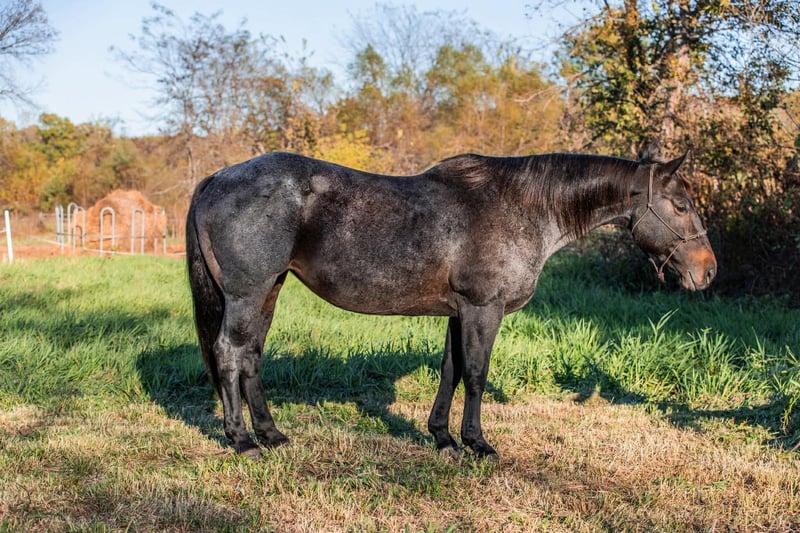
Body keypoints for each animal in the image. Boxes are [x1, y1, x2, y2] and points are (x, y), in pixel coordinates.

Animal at [186, 150, 716, 460]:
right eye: (682, 205)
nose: (708, 271)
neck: (523, 206)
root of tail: (218, 177)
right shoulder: (484, 308)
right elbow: (477, 375)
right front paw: (477, 443)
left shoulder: (458, 312)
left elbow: (451, 371)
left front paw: (442, 437)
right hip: (248, 294)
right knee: (231, 355)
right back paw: (243, 441)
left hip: (269, 290)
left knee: (251, 358)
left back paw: (271, 434)